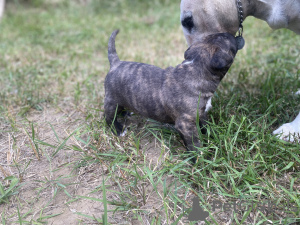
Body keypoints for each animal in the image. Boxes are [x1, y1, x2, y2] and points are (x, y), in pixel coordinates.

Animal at [104, 29, 238, 159]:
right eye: (227, 38)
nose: (236, 35)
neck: (195, 68)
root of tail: (116, 63)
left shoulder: (201, 114)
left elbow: (205, 126)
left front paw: (212, 136)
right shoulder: (185, 125)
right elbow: (194, 143)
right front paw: (200, 158)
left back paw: (126, 113)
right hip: (111, 100)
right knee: (109, 117)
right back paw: (118, 130)